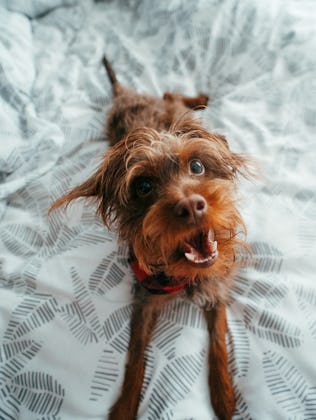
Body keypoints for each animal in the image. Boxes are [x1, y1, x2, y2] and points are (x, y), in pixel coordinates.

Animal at [50, 56, 251, 420]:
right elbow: (135, 354)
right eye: (143, 187)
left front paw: (223, 395)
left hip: (171, 109)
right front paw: (125, 405)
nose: (191, 206)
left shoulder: (216, 287)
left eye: (197, 166)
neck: (185, 275)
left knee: (172, 95)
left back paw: (200, 97)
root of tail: (124, 95)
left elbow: (218, 340)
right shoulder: (143, 301)